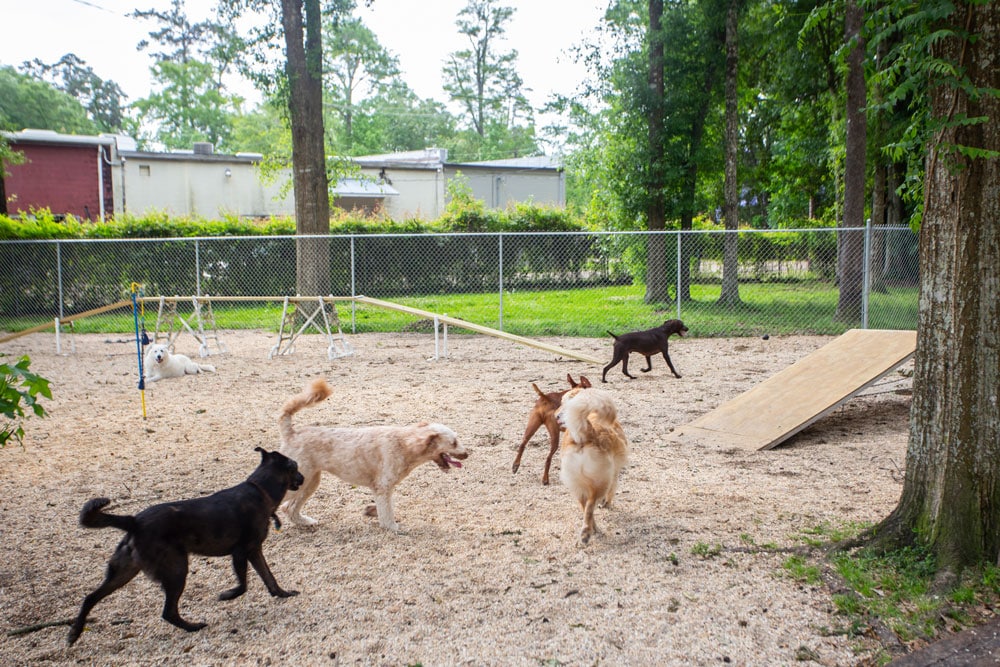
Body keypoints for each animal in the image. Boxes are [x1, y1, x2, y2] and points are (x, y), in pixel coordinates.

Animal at [68, 446, 302, 644]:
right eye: (295, 467)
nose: (304, 477)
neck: (260, 490)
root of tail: (134, 521)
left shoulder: (254, 551)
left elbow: (269, 577)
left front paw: (282, 594)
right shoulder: (241, 552)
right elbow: (243, 585)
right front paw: (227, 596)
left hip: (125, 571)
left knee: (90, 597)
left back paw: (74, 633)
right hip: (176, 569)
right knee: (168, 612)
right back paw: (193, 627)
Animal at [278, 380, 468, 532]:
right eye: (454, 442)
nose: (467, 454)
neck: (403, 444)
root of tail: (291, 433)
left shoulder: (384, 489)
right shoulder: (382, 488)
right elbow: (386, 513)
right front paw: (393, 528)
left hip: (309, 482)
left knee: (289, 508)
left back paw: (306, 522)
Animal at [560, 386, 628, 548]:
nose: (556, 415)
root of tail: (585, 433)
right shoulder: (615, 473)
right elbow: (612, 491)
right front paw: (607, 503)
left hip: (578, 486)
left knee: (585, 508)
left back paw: (593, 530)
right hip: (600, 482)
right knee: (590, 507)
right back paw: (586, 533)